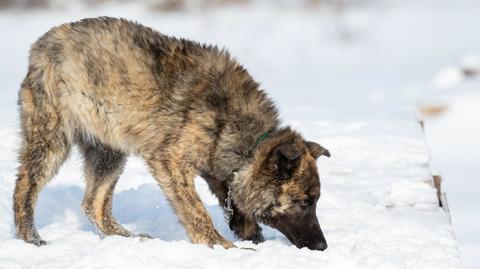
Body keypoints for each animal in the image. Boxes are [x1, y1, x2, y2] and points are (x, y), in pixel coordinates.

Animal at [14, 16, 330, 250]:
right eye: (305, 202)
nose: (322, 246)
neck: (245, 140)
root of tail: (41, 45)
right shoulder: (171, 162)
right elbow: (196, 210)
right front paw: (221, 246)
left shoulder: (218, 169)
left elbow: (230, 199)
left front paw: (248, 232)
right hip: (52, 139)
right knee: (25, 186)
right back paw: (31, 238)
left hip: (109, 151)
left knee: (94, 205)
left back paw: (130, 238)